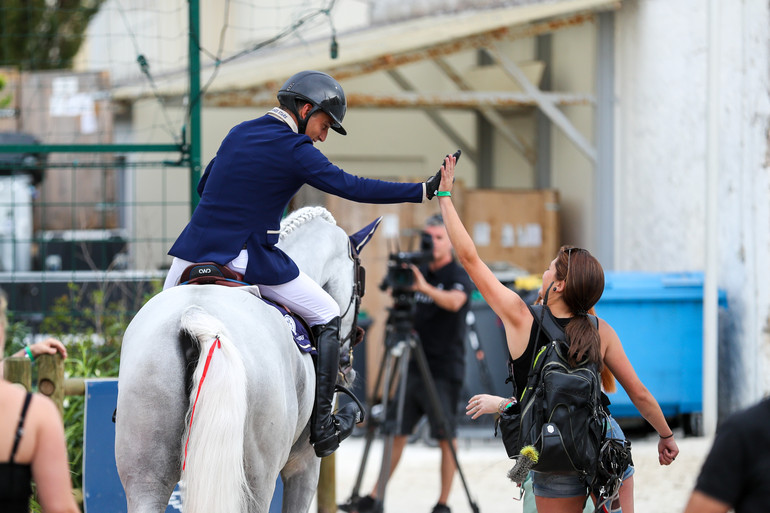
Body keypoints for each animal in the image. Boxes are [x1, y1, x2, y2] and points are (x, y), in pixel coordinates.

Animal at [115, 207, 376, 512]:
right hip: (257, 479)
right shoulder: (305, 465)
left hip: (145, 475)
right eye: (361, 281)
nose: (348, 366)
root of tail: (195, 314)